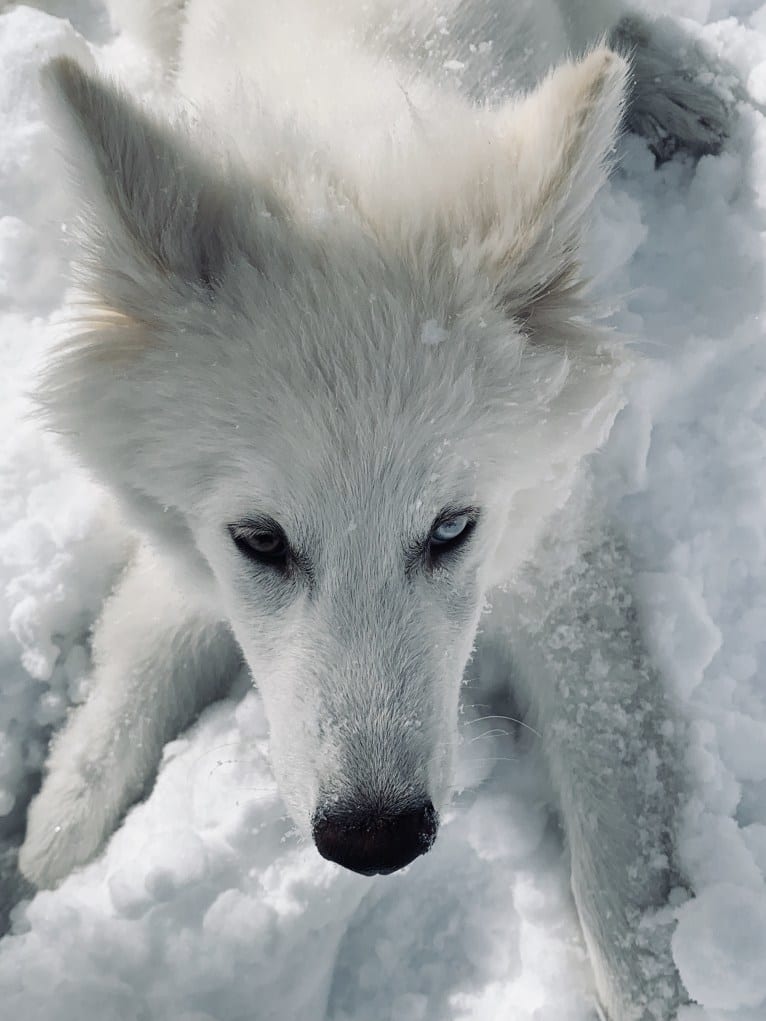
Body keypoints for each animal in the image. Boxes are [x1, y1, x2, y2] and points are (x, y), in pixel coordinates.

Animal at [15, 3, 727, 1016]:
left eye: (452, 528)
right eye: (260, 539)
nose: (375, 841)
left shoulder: (555, 548)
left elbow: (617, 803)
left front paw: (658, 981)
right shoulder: (187, 537)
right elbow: (147, 633)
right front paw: (63, 820)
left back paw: (666, 87)